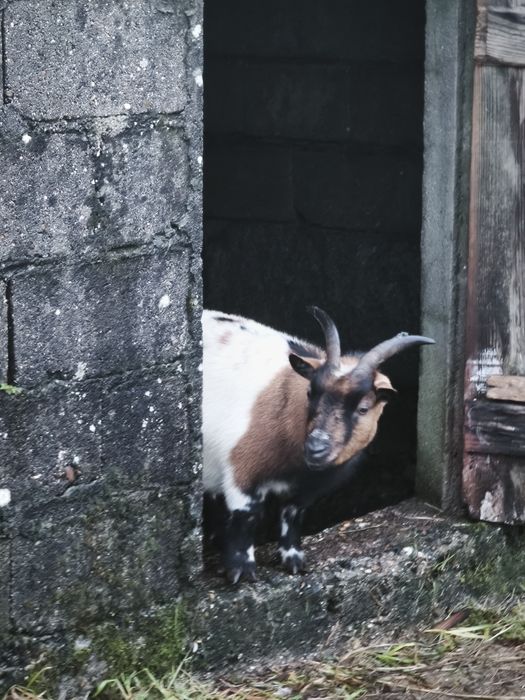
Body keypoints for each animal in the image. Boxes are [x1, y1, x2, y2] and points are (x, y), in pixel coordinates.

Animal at [202, 307, 434, 583]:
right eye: (310, 392)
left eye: (363, 408)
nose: (316, 448)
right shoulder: (243, 473)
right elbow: (245, 518)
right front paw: (241, 570)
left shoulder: (307, 489)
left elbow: (291, 515)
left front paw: (293, 560)